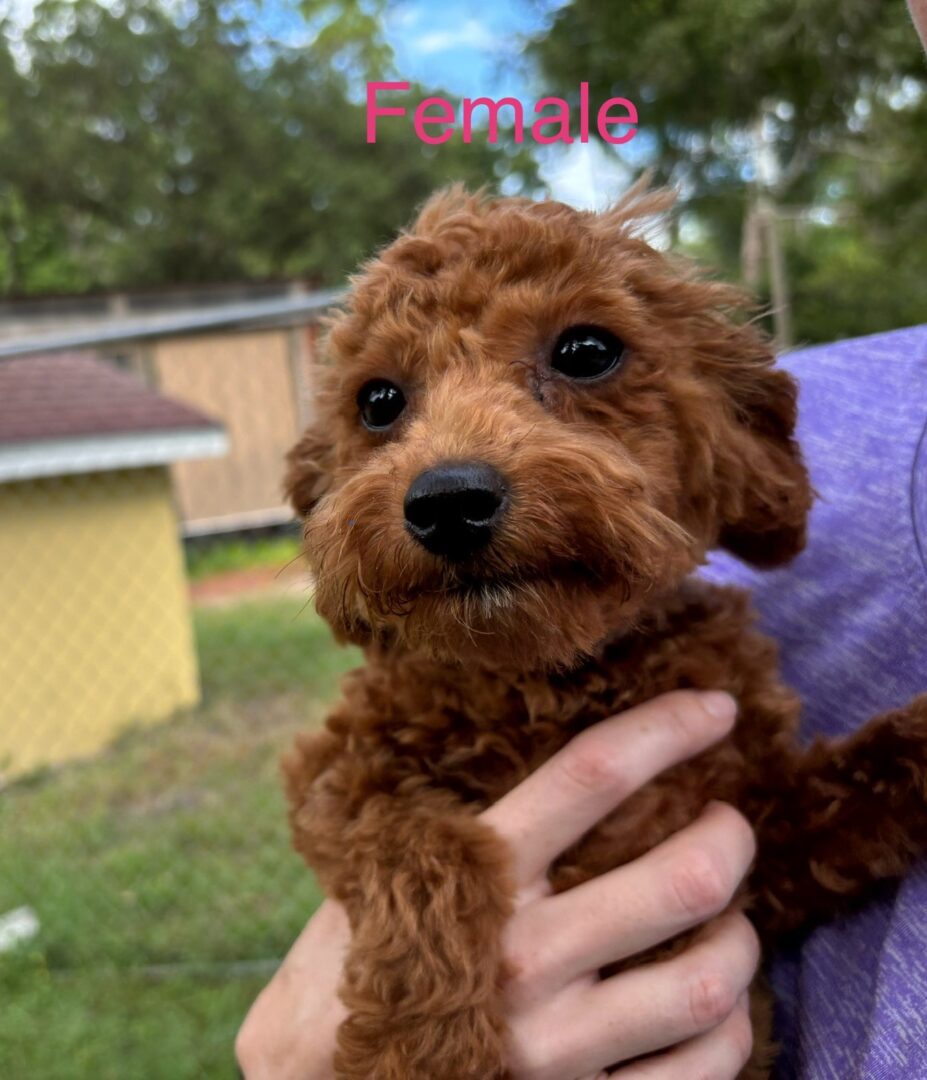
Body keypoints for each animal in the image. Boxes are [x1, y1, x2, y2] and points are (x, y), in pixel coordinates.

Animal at [280, 181, 924, 1075]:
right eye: (377, 402)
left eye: (586, 351)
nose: (446, 501)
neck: (549, 679)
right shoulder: (337, 768)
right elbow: (415, 848)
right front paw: (426, 1049)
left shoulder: (757, 830)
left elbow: (866, 777)